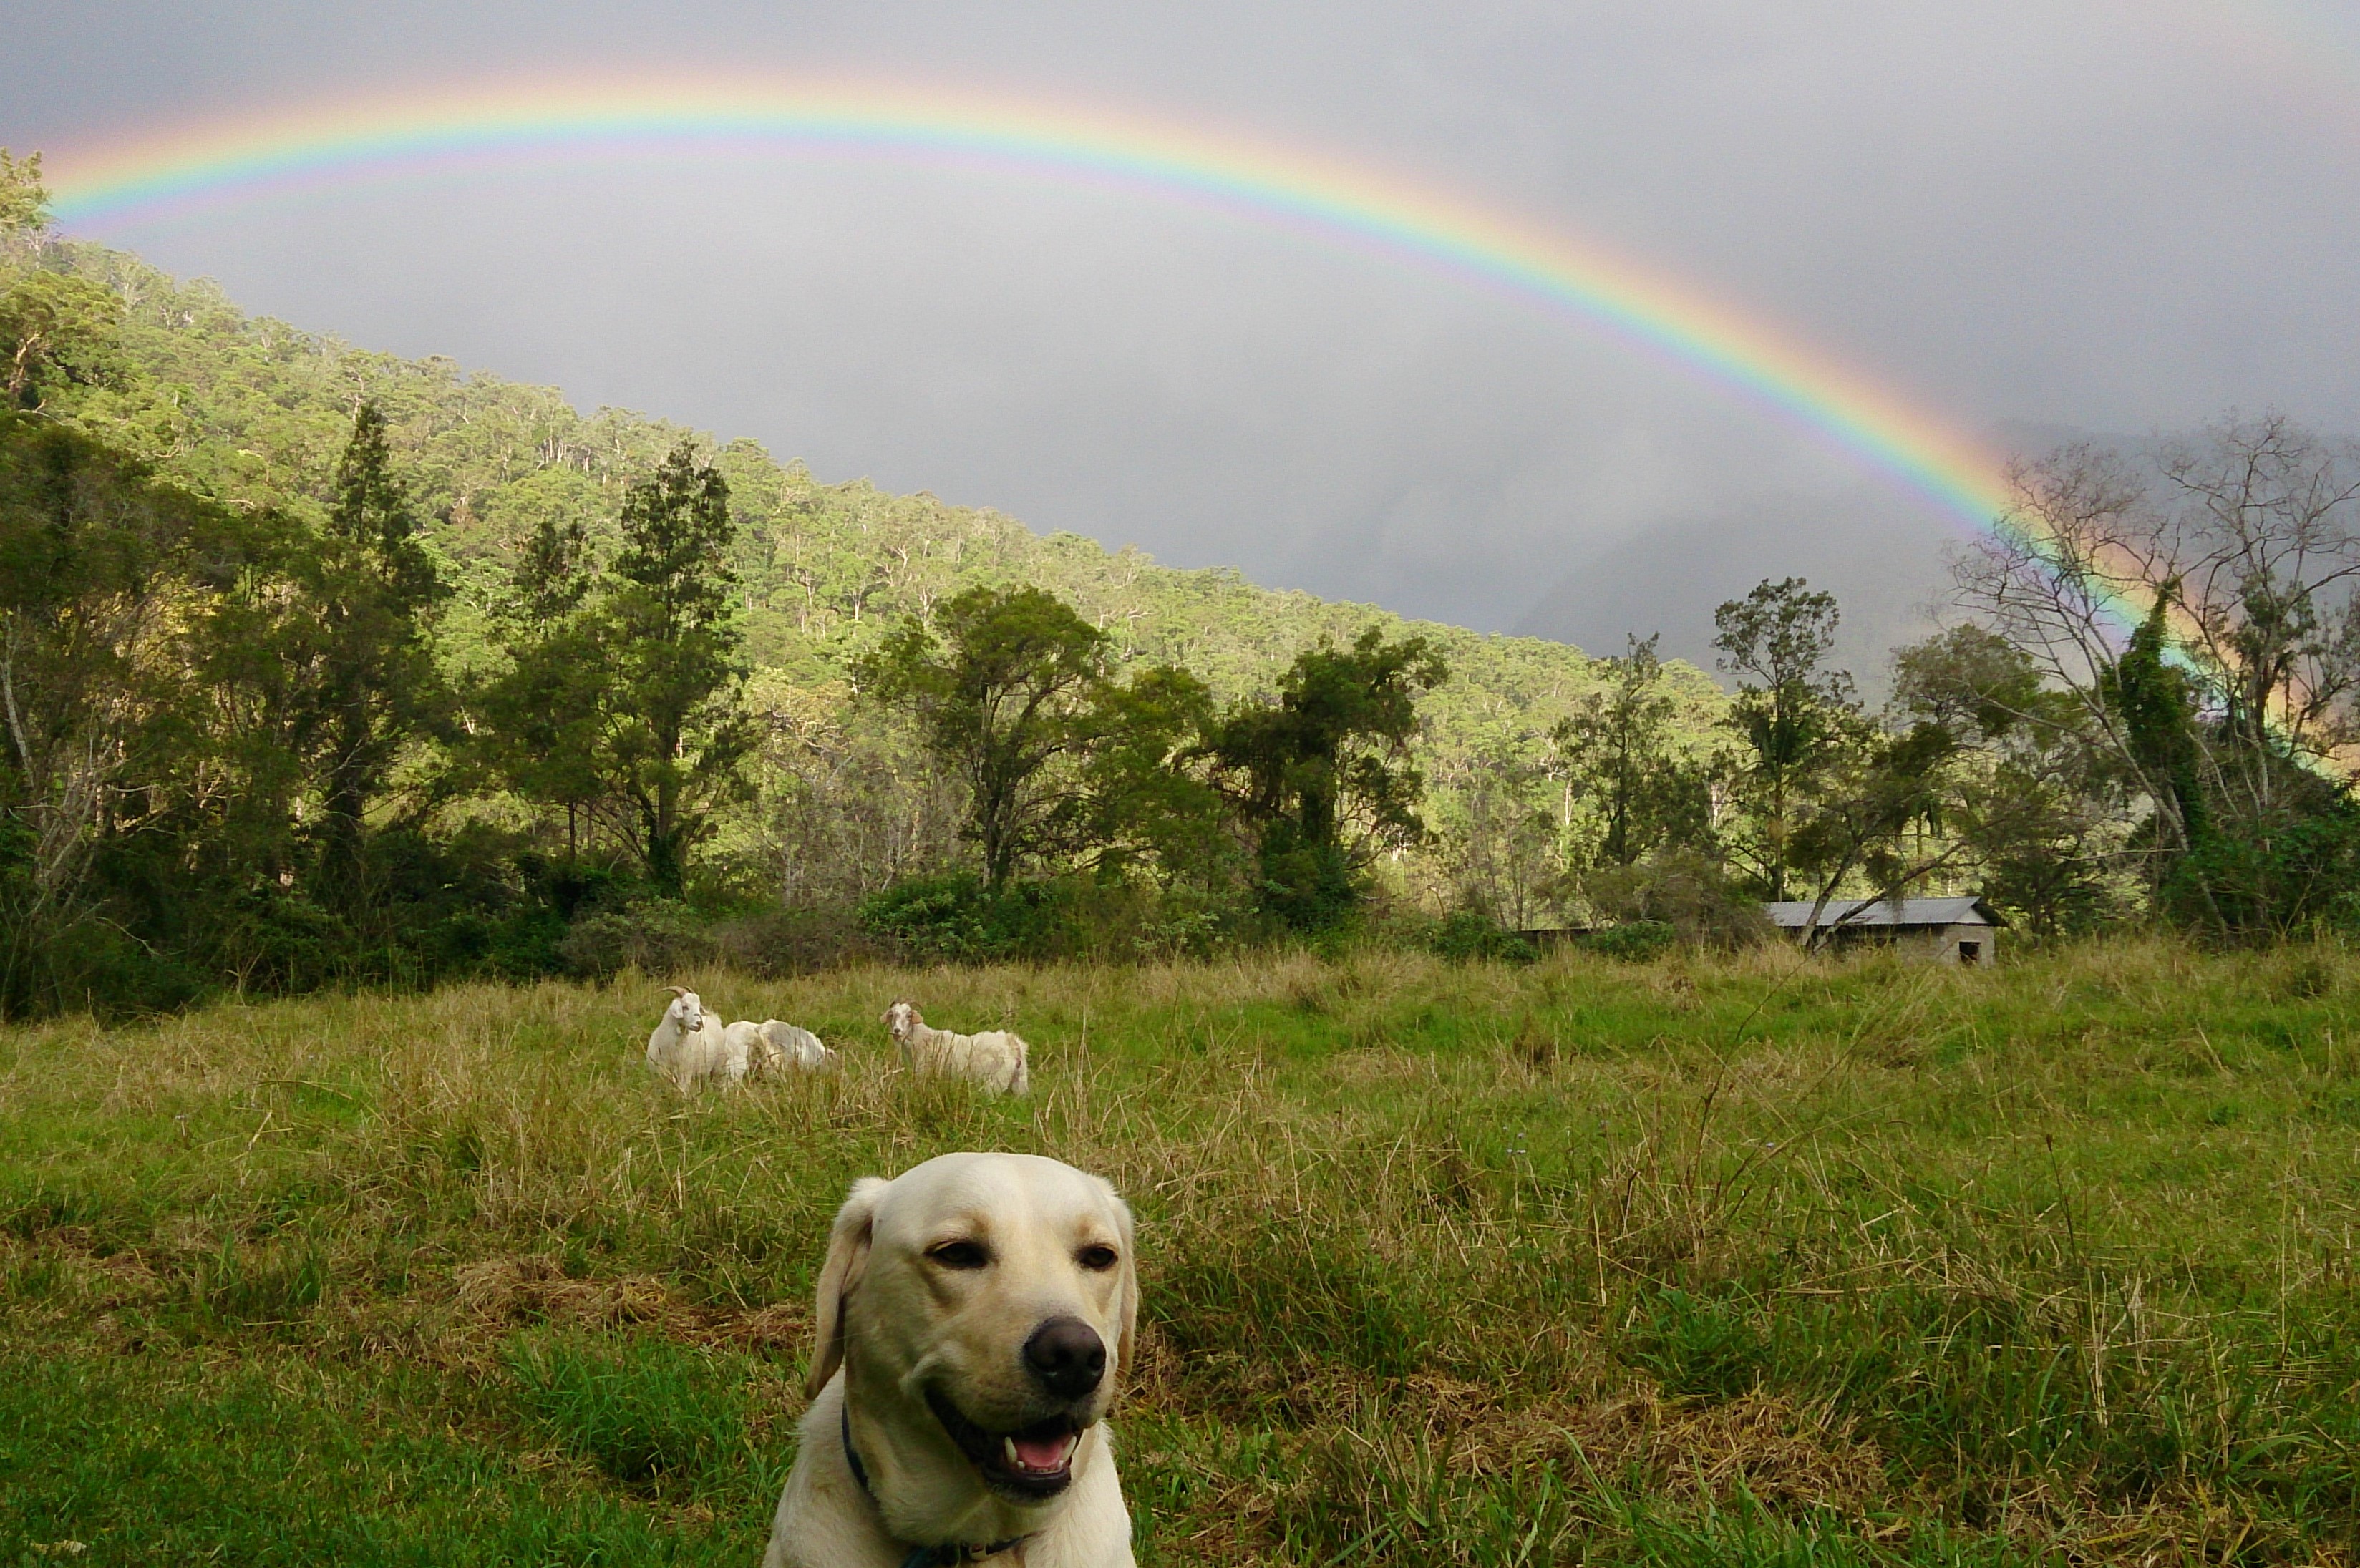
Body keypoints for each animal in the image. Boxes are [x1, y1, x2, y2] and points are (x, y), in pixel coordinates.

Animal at [646, 986, 749, 1090]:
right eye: (685, 1007)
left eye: (698, 1007)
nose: (699, 1023)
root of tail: (713, 1017)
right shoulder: (657, 1073)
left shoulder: (686, 1074)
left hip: (719, 1065)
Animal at [882, 1000, 1029, 1095]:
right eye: (892, 1015)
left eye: (909, 1015)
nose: (897, 1031)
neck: (922, 1039)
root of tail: (1013, 1043)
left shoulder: (922, 1075)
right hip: (1020, 1082)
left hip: (995, 1082)